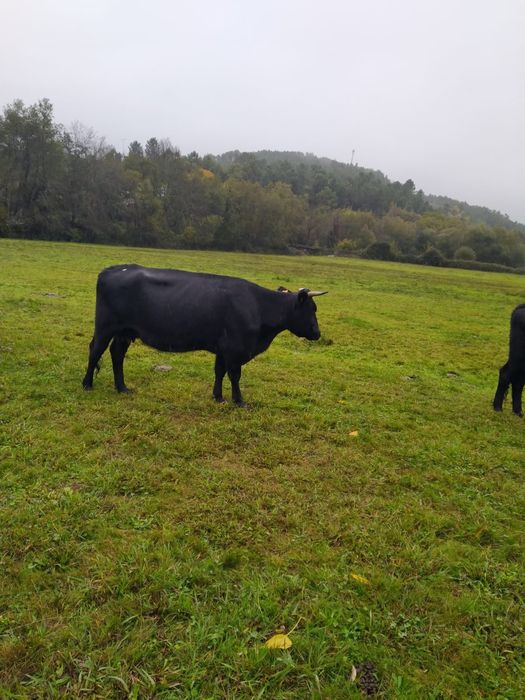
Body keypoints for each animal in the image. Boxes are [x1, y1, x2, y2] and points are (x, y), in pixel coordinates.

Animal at [82, 264, 327, 407]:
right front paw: (239, 401)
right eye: (311, 309)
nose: (317, 333)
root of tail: (113, 270)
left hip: (124, 331)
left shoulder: (222, 348)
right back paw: (87, 384)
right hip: (105, 326)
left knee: (116, 354)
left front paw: (217, 396)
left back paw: (122, 388)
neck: (258, 306)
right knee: (96, 350)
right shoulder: (235, 349)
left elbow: (219, 372)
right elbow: (234, 375)